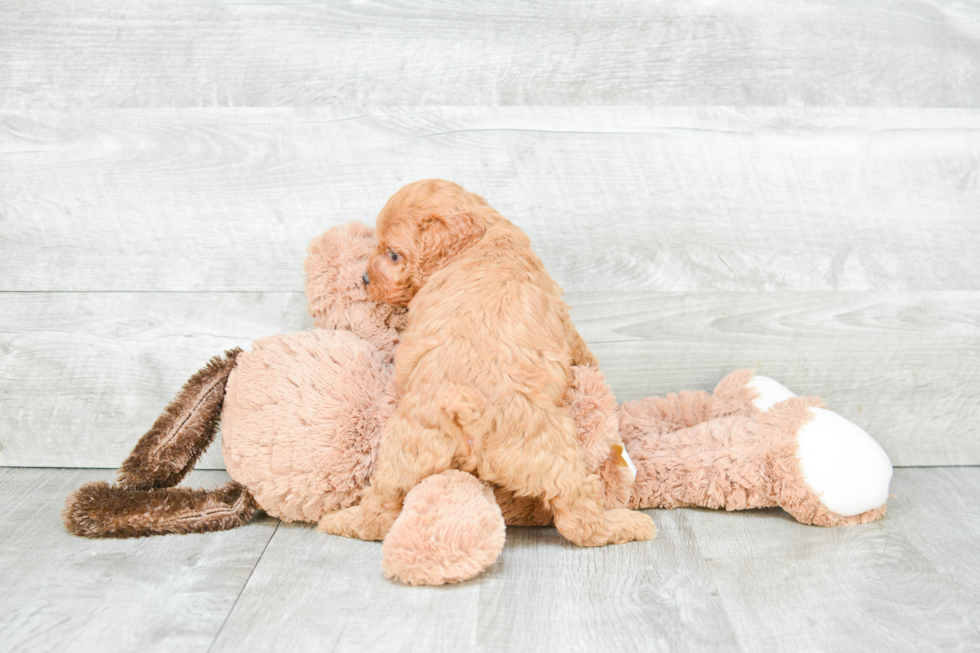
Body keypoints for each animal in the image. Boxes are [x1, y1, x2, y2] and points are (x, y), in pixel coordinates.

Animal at [320, 178, 660, 544]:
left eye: (393, 254)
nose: (365, 280)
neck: (482, 234)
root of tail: (469, 411)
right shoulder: (559, 313)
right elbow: (579, 345)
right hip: (554, 452)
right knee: (580, 518)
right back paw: (627, 524)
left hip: (404, 452)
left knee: (379, 510)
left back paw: (338, 521)